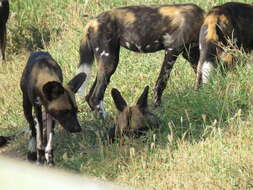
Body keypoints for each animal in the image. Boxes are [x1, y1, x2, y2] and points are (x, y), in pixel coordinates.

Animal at [76, 3, 206, 117]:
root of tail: (92, 22)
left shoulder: (191, 54)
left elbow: (199, 76)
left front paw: (200, 94)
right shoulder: (172, 50)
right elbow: (161, 83)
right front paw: (157, 107)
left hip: (108, 65)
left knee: (90, 96)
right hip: (109, 61)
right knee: (96, 96)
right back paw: (106, 119)